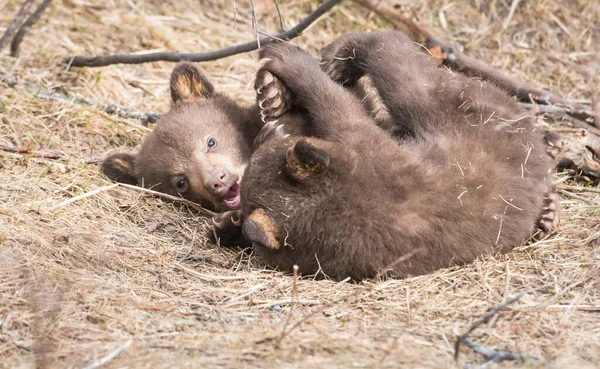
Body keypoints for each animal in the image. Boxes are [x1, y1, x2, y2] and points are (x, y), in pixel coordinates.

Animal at [213, 31, 556, 278]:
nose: (267, 136)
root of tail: (532, 139)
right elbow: (348, 107)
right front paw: (227, 224)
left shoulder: (369, 153)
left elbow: (339, 107)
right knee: (404, 74)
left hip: (456, 112)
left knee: (403, 74)